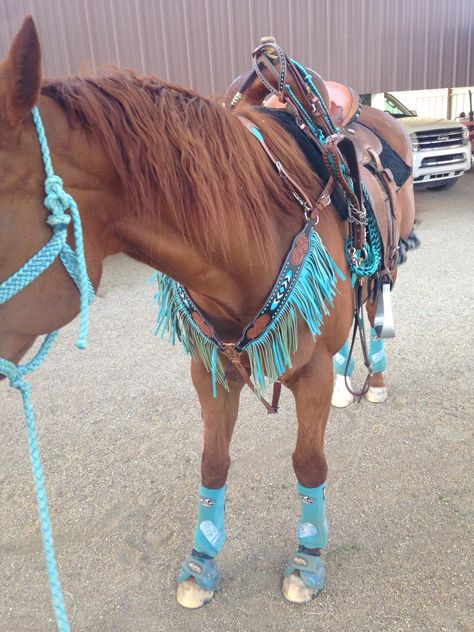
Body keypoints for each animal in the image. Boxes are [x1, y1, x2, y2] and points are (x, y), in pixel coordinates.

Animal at [0, 16, 412, 616]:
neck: (248, 231)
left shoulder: (306, 372)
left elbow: (309, 462)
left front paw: (308, 560)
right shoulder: (210, 371)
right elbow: (212, 463)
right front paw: (201, 562)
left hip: (388, 269)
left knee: (376, 312)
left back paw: (374, 381)